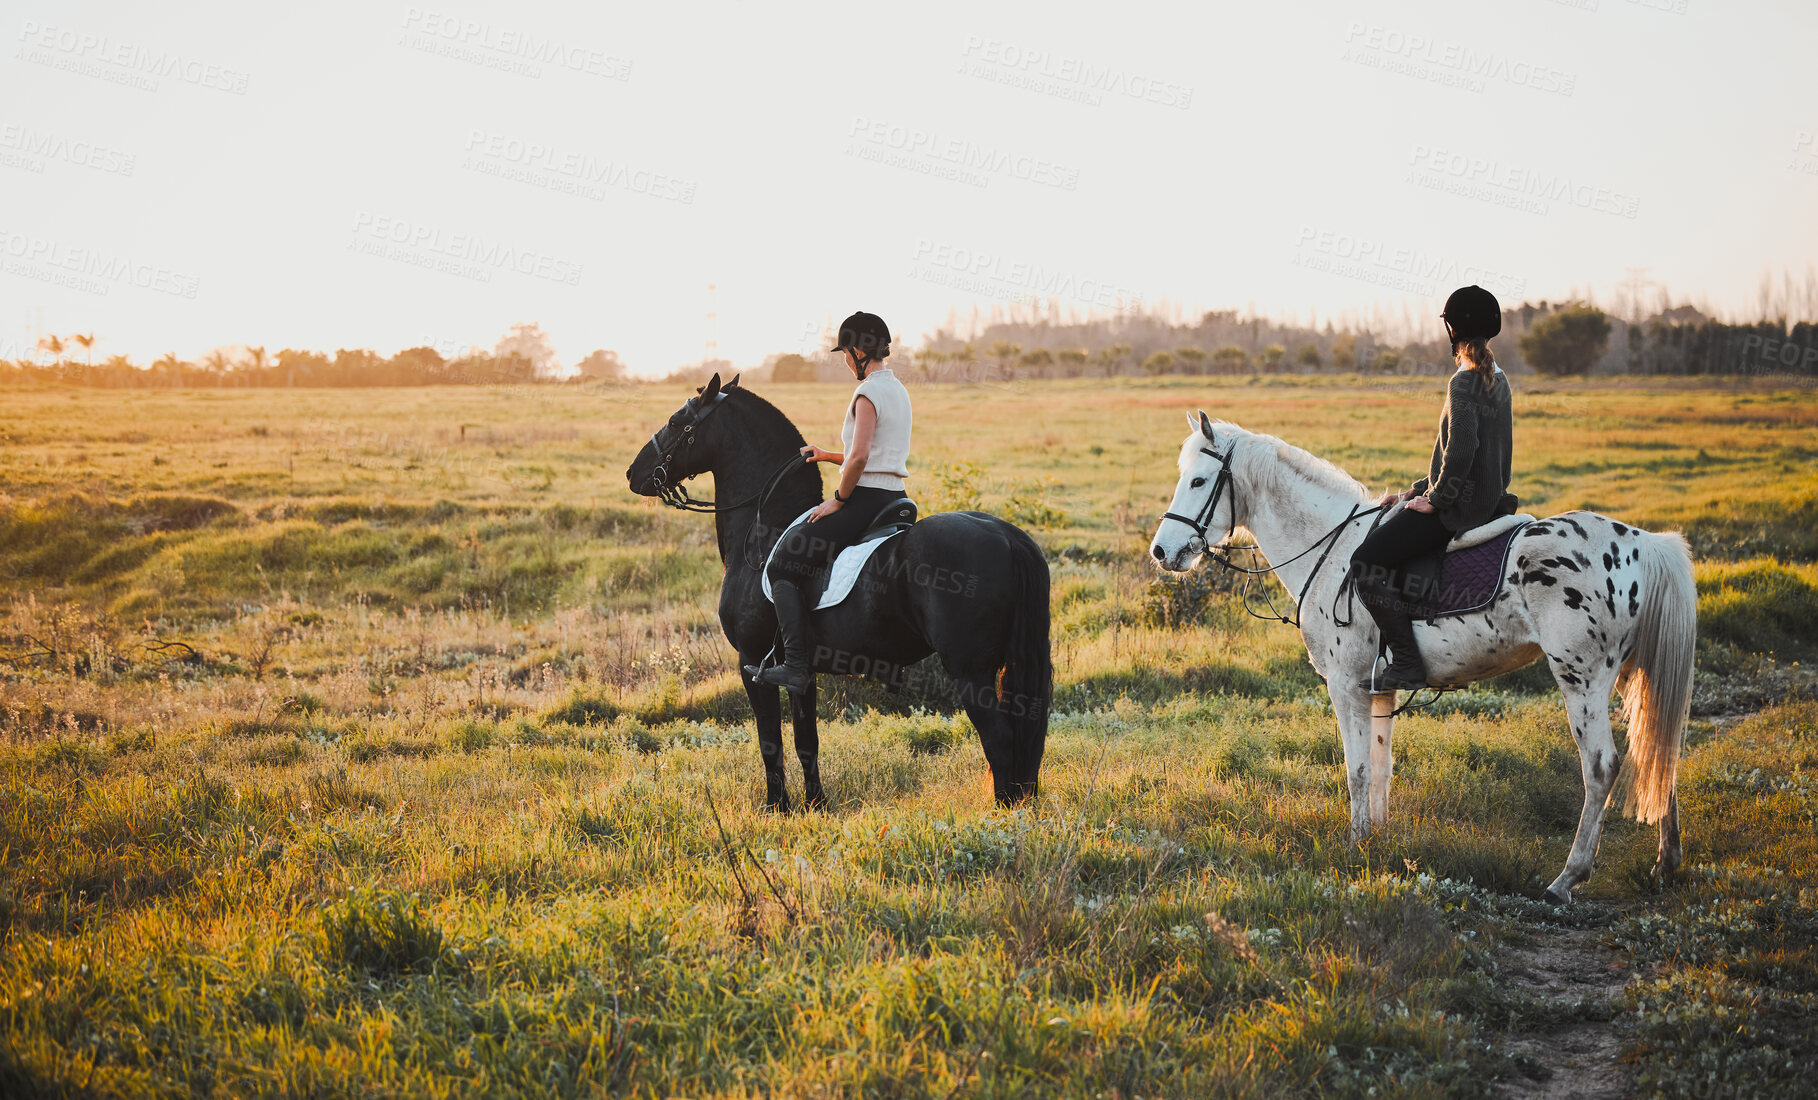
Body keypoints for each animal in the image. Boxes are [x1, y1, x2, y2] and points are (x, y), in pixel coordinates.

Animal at [625, 372, 1054, 810]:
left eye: (677, 421)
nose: (632, 473)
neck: (762, 532)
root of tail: (1005, 534)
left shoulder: (753, 663)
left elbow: (769, 741)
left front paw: (776, 807)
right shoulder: (801, 671)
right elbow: (806, 741)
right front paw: (815, 805)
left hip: (971, 670)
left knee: (999, 737)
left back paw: (1002, 813)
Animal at [1156, 410, 1694, 901]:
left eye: (1199, 480)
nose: (1161, 552)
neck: (1331, 551)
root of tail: (1645, 543)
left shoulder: (1346, 687)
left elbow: (1356, 771)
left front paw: (1354, 847)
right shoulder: (1380, 691)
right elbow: (1381, 769)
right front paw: (1376, 841)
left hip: (1581, 679)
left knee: (1601, 767)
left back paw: (1567, 879)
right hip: (1630, 675)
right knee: (1660, 748)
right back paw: (1666, 864)